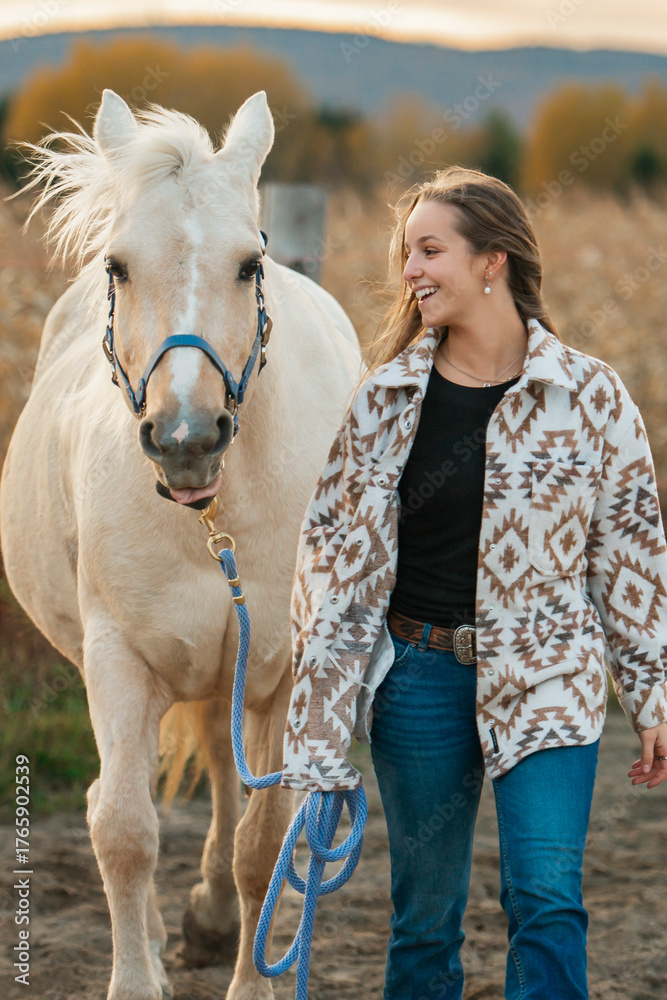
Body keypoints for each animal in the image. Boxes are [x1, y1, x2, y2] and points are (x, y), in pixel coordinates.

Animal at [0, 89, 361, 1000]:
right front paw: (138, 976)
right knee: (118, 796)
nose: (186, 438)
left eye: (249, 264)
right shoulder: (118, 658)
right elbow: (124, 827)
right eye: (118, 266)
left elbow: (262, 840)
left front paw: (249, 975)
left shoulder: (281, 669)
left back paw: (212, 921)